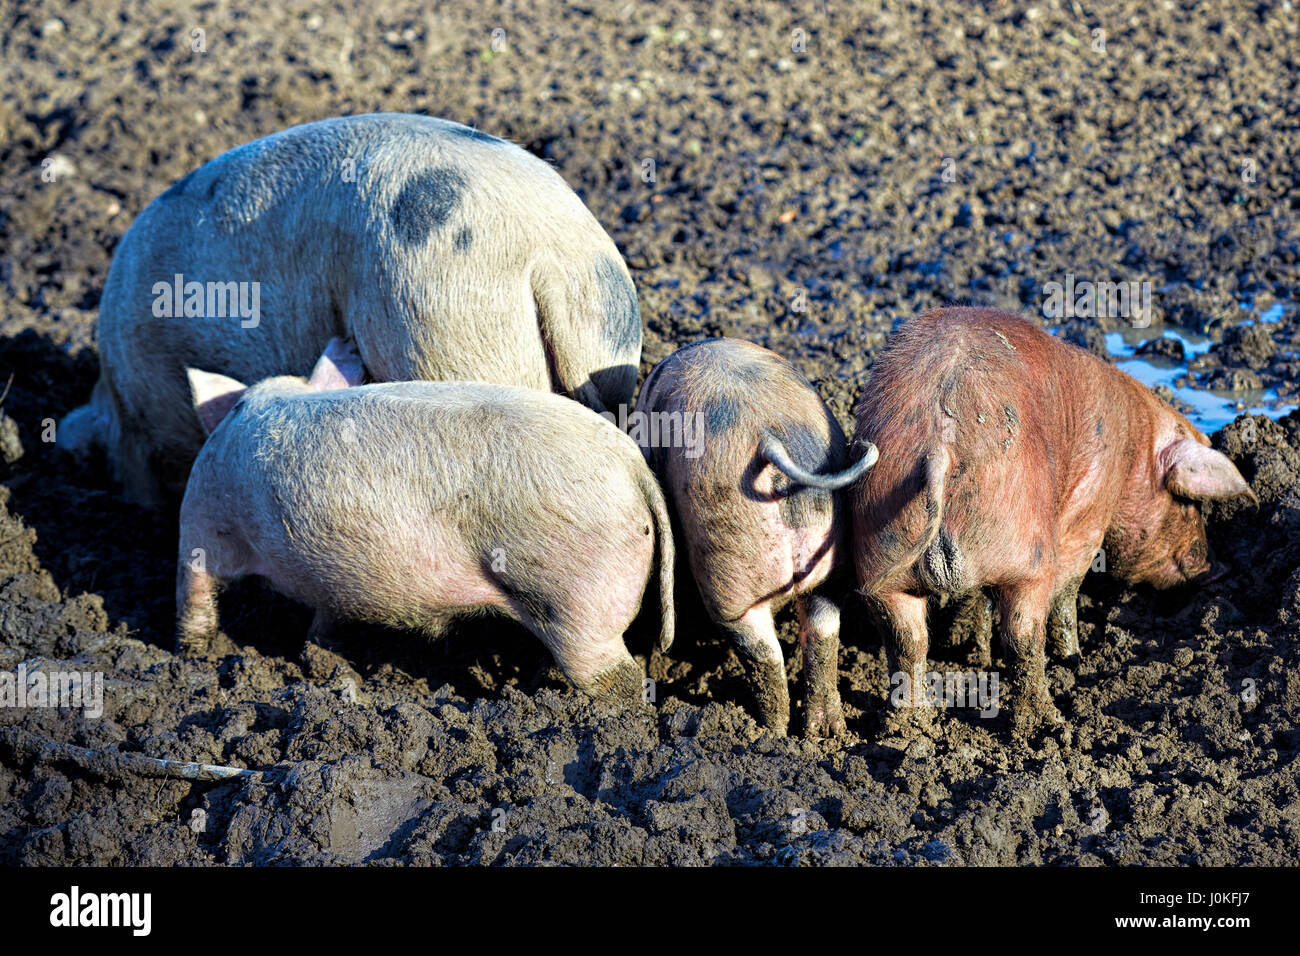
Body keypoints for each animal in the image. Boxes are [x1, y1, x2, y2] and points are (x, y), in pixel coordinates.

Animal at [176, 335, 676, 702]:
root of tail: (634, 468)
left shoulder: (202, 517)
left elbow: (193, 588)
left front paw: (189, 654)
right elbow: (326, 618)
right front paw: (321, 650)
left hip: (576, 597)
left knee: (613, 677)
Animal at [631, 340, 878, 738]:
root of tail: (768, 437)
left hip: (728, 573)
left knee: (764, 654)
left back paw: (769, 732)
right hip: (830, 564)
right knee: (822, 634)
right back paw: (824, 731)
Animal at [847, 310, 1253, 738]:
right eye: (1189, 504)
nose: (1217, 570)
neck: (1133, 452)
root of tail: (940, 447)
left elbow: (978, 599)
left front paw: (975, 652)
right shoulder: (1088, 511)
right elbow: (1067, 590)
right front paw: (1073, 658)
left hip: (880, 548)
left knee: (906, 639)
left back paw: (908, 726)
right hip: (1027, 554)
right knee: (1023, 635)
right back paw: (1047, 721)